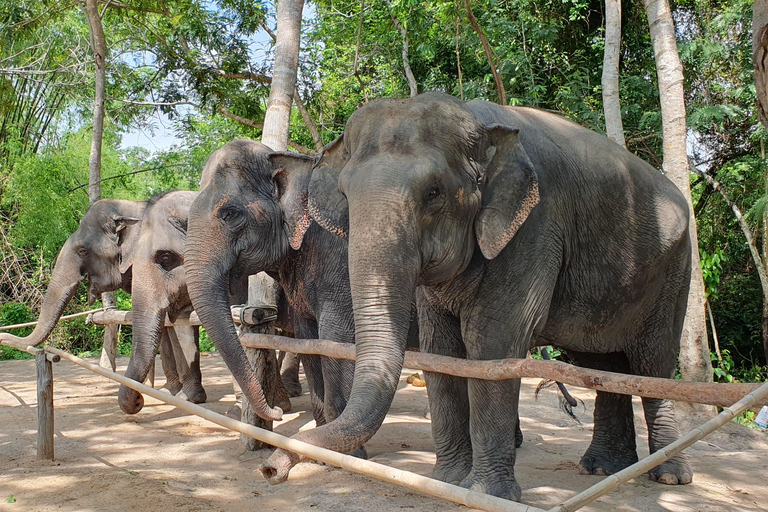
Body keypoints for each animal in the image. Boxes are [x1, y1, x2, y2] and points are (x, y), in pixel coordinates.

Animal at [260, 92, 696, 500]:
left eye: (434, 192)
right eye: (346, 195)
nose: (271, 469)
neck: (477, 121)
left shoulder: (535, 227)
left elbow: (492, 343)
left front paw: (484, 492)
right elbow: (441, 348)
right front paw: (447, 481)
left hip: (675, 271)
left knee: (652, 363)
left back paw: (669, 476)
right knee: (602, 364)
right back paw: (601, 468)